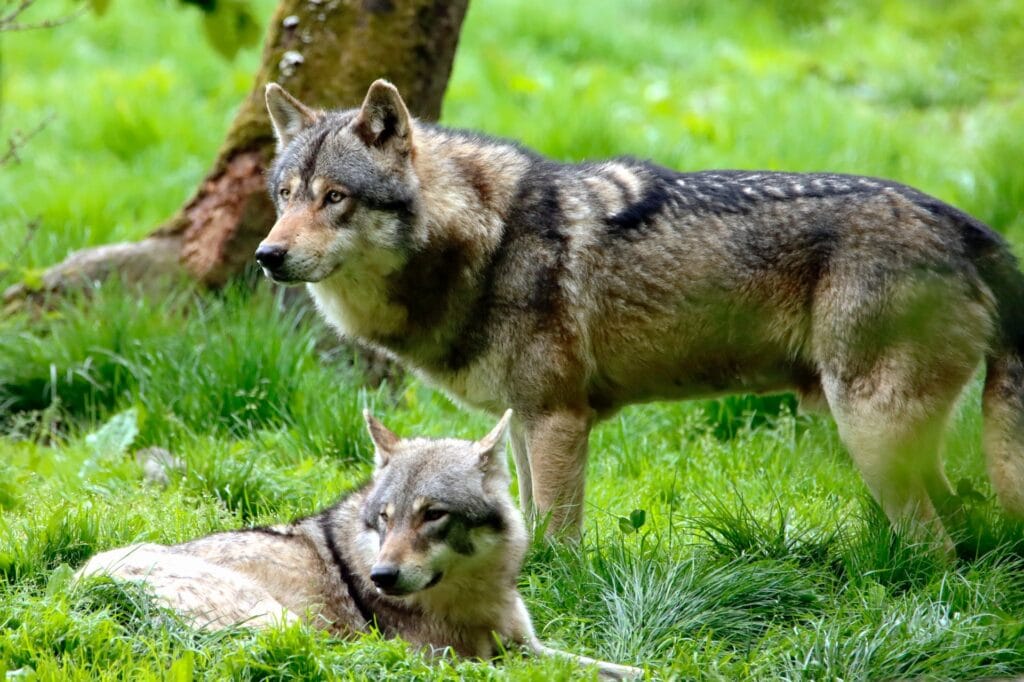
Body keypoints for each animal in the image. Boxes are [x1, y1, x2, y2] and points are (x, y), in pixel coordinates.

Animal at [75, 411, 640, 679]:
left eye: (432, 515)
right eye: (385, 519)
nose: (381, 578)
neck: (468, 599)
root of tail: (82, 587)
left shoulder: (527, 645)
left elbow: (626, 670)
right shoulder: (460, 661)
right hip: (286, 628)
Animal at [256, 79, 1024, 551]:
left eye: (335, 197)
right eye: (286, 194)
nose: (267, 255)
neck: (487, 239)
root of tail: (969, 226)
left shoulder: (557, 420)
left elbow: (557, 536)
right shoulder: (526, 422)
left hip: (871, 436)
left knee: (936, 548)